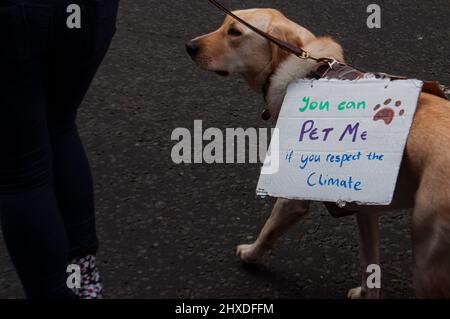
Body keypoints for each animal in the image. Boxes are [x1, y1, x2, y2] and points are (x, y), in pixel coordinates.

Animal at [186, 9, 450, 300]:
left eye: (234, 32)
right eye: (223, 24)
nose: (189, 46)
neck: (310, 72)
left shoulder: (292, 198)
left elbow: (268, 231)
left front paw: (250, 254)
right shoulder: (366, 210)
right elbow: (370, 267)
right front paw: (364, 292)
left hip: (426, 258)